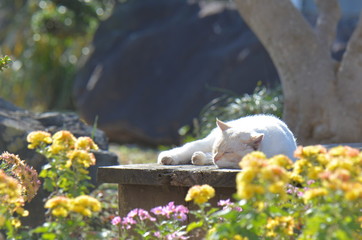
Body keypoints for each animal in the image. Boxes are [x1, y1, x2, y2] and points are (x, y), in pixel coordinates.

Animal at [158, 115, 296, 169]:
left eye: (228, 152)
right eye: (216, 149)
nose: (216, 156)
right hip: (206, 142)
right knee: (187, 149)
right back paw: (167, 158)